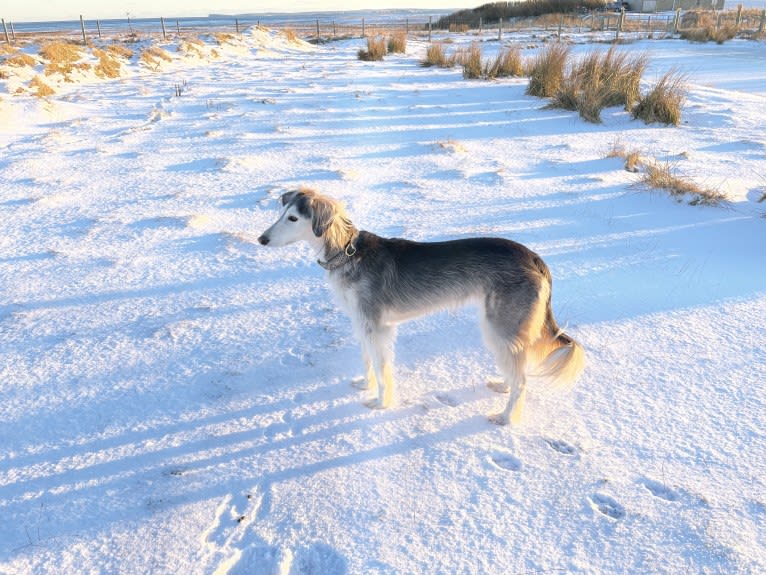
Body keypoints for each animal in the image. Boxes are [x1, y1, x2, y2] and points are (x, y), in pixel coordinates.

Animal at [260, 188, 588, 424]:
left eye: (293, 219)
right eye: (282, 213)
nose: (261, 239)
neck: (348, 253)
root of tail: (533, 257)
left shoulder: (377, 328)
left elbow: (382, 369)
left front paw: (380, 402)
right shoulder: (362, 324)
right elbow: (367, 362)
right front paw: (365, 385)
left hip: (500, 328)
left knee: (522, 381)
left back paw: (505, 417)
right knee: (517, 370)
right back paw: (502, 386)